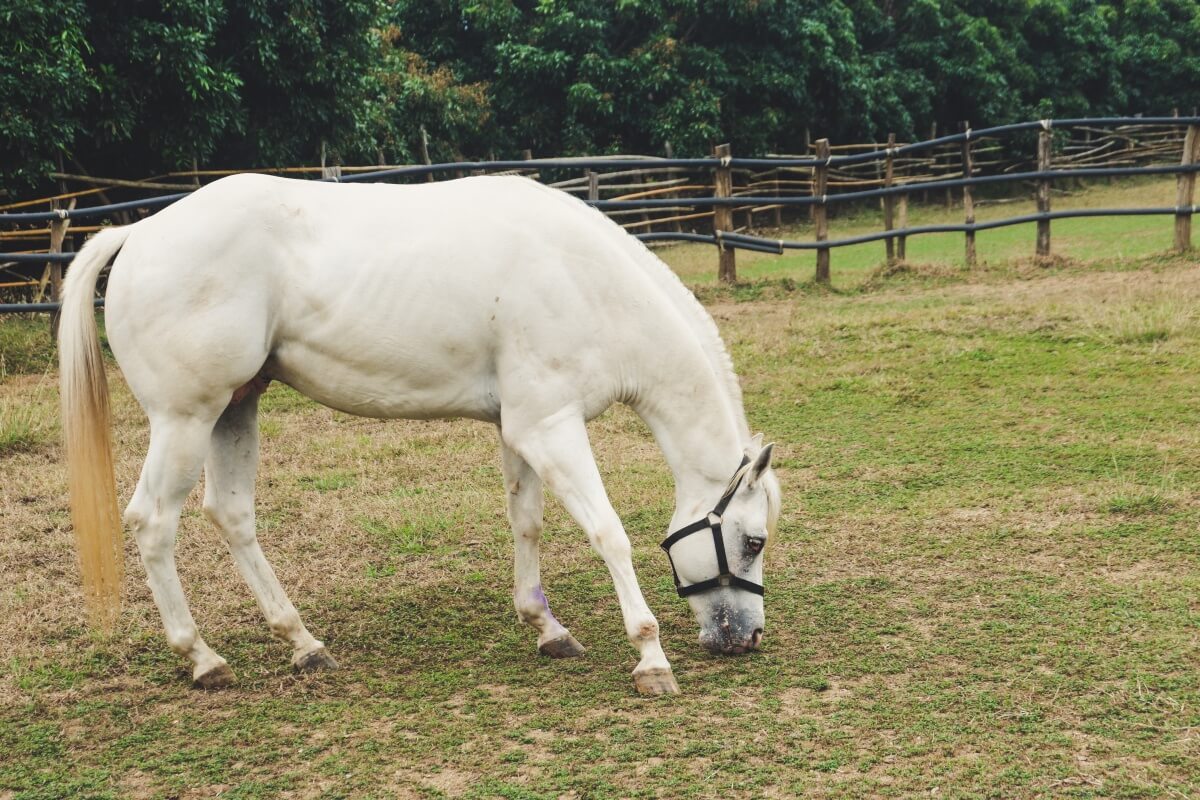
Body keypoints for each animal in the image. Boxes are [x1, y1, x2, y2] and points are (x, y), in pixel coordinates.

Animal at [58, 173, 780, 695]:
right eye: (752, 541)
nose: (746, 637)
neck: (583, 281)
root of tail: (140, 232)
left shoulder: (520, 430)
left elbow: (527, 523)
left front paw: (546, 627)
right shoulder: (551, 429)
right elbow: (609, 533)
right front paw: (650, 656)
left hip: (234, 410)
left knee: (232, 517)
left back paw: (303, 643)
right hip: (185, 420)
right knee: (153, 522)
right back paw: (203, 659)